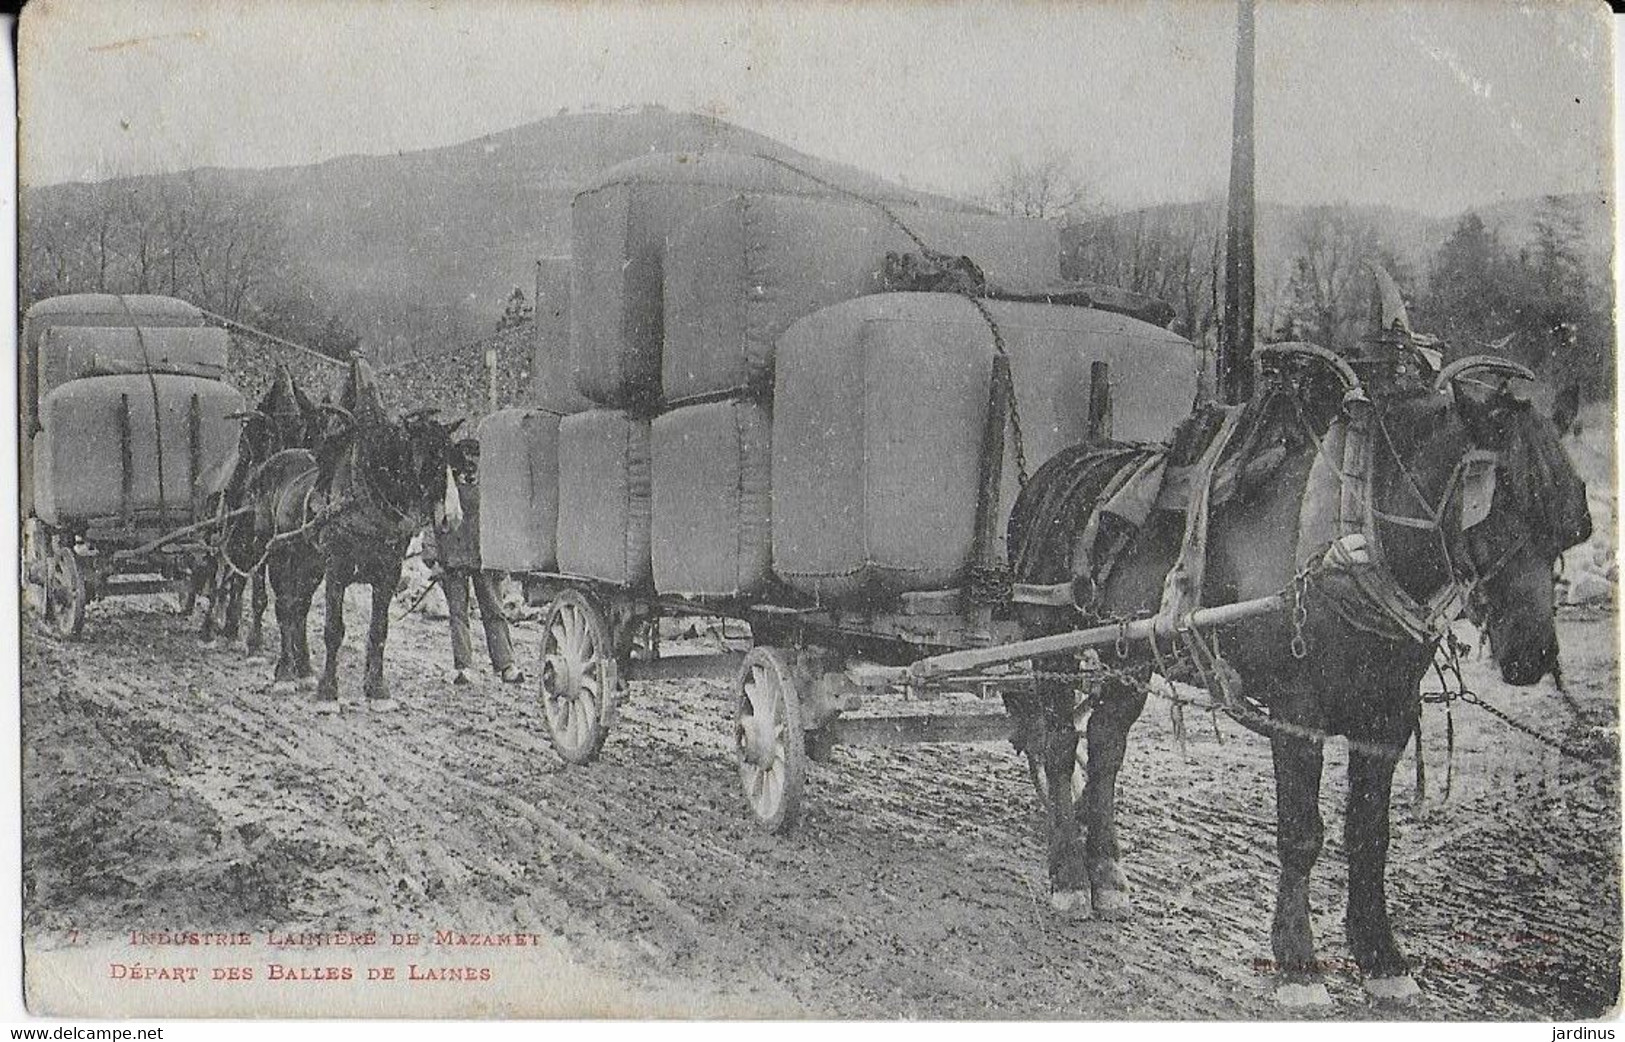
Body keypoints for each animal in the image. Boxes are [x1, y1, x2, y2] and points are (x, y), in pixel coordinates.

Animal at [253, 357, 468, 708]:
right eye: (428, 457)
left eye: (450, 457)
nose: (453, 516)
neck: (367, 498)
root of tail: (271, 463)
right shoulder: (337, 570)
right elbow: (333, 629)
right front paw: (328, 691)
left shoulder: (388, 574)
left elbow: (378, 631)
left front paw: (377, 689)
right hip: (276, 552)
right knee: (283, 605)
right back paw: (284, 672)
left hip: (310, 563)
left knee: (299, 608)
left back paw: (303, 670)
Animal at [1007, 347, 1592, 1001]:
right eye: (1501, 504)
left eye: (1570, 522)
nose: (1533, 653)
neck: (1348, 535)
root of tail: (1062, 465)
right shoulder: (1297, 715)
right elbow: (1301, 834)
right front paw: (1297, 961)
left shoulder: (1387, 719)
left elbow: (1369, 835)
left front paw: (1382, 956)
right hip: (1049, 639)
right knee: (1059, 746)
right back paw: (1068, 875)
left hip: (1128, 654)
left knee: (1107, 743)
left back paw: (1106, 871)